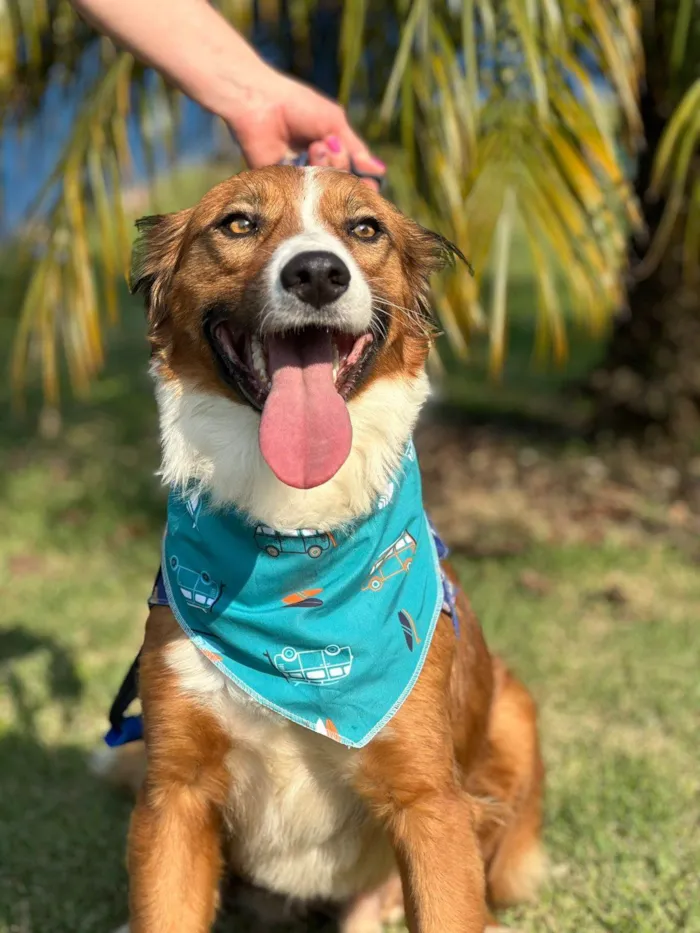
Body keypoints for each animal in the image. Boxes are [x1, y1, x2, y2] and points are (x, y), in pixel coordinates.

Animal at [101, 167, 544, 932]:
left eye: (365, 228)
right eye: (238, 223)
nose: (316, 273)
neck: (296, 538)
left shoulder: (430, 803)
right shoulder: (174, 795)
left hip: (515, 721)